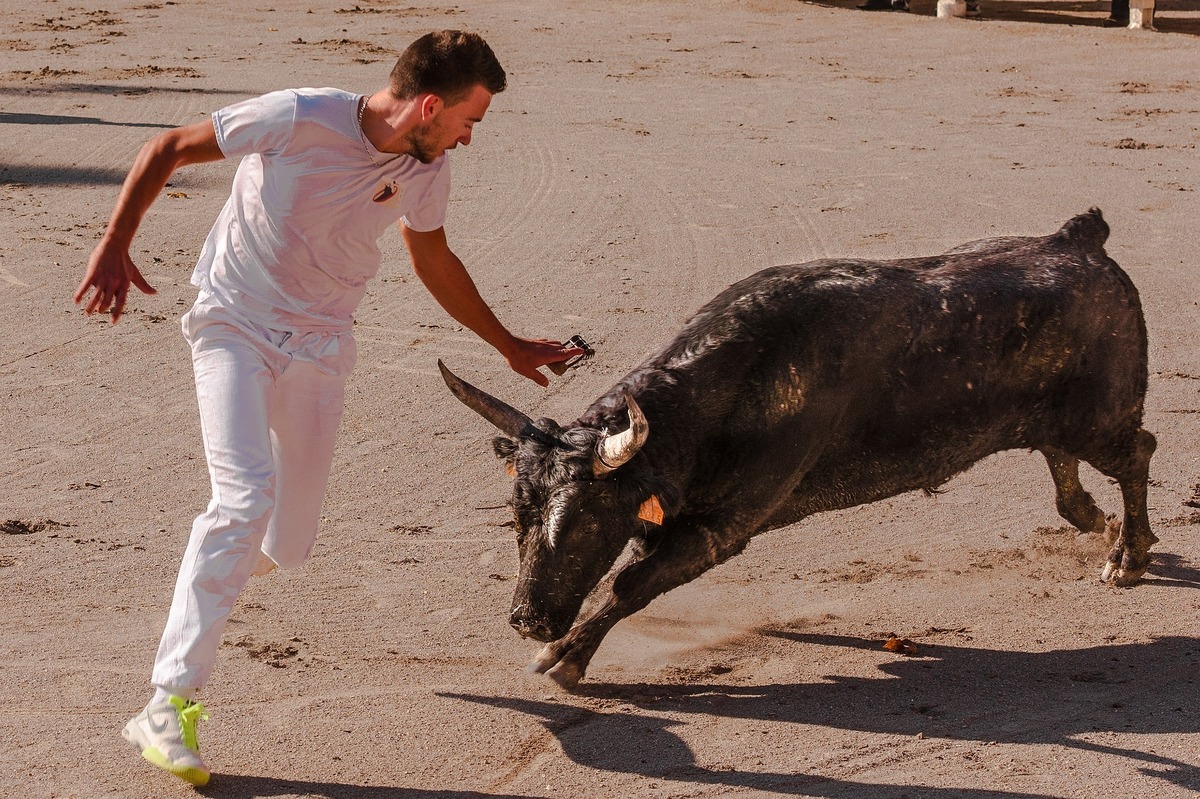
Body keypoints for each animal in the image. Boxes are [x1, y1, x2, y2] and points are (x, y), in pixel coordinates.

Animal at [439, 208, 1152, 686]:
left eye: (588, 521)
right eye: (518, 517)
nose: (527, 620)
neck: (722, 394)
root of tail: (1078, 239)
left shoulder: (722, 528)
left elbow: (630, 581)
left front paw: (565, 658)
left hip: (1102, 418)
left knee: (1136, 454)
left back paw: (1128, 557)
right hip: (1057, 420)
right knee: (1064, 463)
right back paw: (1100, 525)